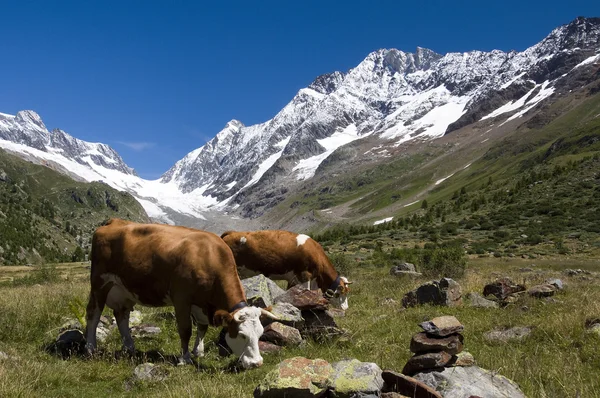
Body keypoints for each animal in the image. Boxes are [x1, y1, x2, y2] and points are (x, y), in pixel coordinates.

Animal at [84, 219, 276, 368]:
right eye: (242, 335)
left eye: (260, 334)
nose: (257, 363)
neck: (208, 256)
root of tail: (113, 222)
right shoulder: (181, 298)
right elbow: (185, 329)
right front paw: (185, 358)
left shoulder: (200, 303)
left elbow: (202, 326)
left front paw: (198, 351)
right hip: (100, 283)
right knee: (93, 313)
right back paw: (90, 348)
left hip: (123, 290)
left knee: (121, 315)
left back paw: (129, 347)